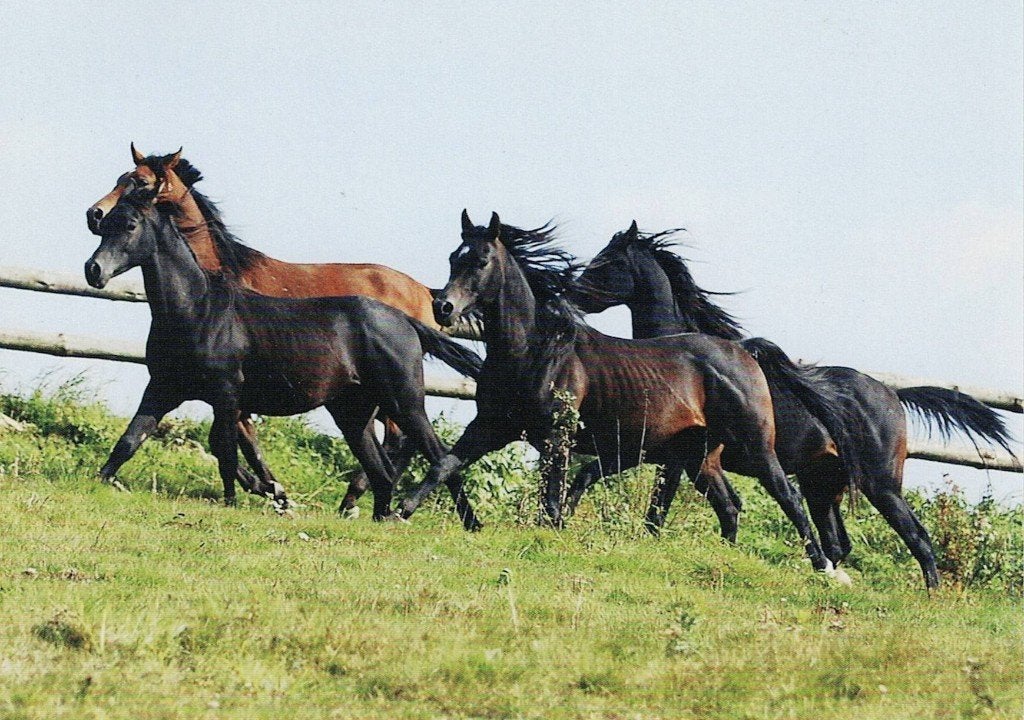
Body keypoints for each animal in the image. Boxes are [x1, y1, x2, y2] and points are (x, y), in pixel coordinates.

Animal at [83, 153, 483, 528]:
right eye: (107, 225)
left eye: (131, 222)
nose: (94, 269)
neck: (199, 308)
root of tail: (410, 317)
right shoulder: (164, 388)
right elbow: (130, 441)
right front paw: (96, 482)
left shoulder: (227, 394)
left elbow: (226, 450)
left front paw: (255, 498)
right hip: (353, 414)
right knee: (382, 470)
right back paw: (370, 514)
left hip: (405, 403)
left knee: (433, 452)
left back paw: (460, 521)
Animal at [395, 210, 842, 576]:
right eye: (453, 257)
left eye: (481, 261)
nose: (443, 307)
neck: (534, 350)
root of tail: (743, 353)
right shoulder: (492, 426)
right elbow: (445, 464)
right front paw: (401, 512)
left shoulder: (560, 438)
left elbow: (555, 498)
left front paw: (552, 536)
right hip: (698, 456)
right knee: (729, 505)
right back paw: (726, 558)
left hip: (754, 446)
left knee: (789, 496)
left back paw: (826, 569)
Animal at [571, 222, 1015, 588]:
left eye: (607, 261)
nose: (570, 293)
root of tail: (893, 395)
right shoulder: (684, 455)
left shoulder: (671, 454)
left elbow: (659, 502)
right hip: (823, 487)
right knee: (839, 542)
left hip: (881, 485)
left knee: (917, 538)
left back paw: (930, 594)